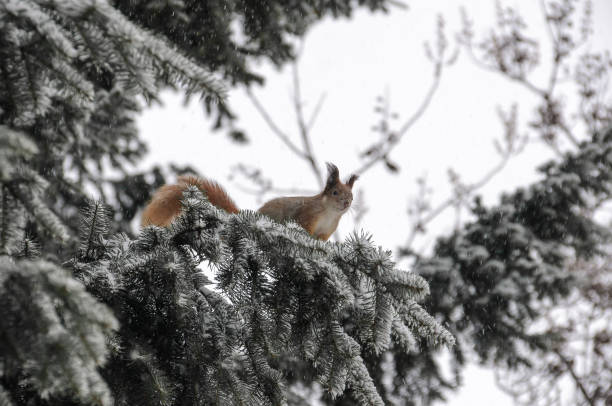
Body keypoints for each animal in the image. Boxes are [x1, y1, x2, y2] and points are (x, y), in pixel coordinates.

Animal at [140, 163, 356, 241]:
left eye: (352, 196)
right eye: (335, 192)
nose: (346, 203)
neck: (330, 214)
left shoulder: (328, 231)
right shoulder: (307, 215)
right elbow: (304, 228)